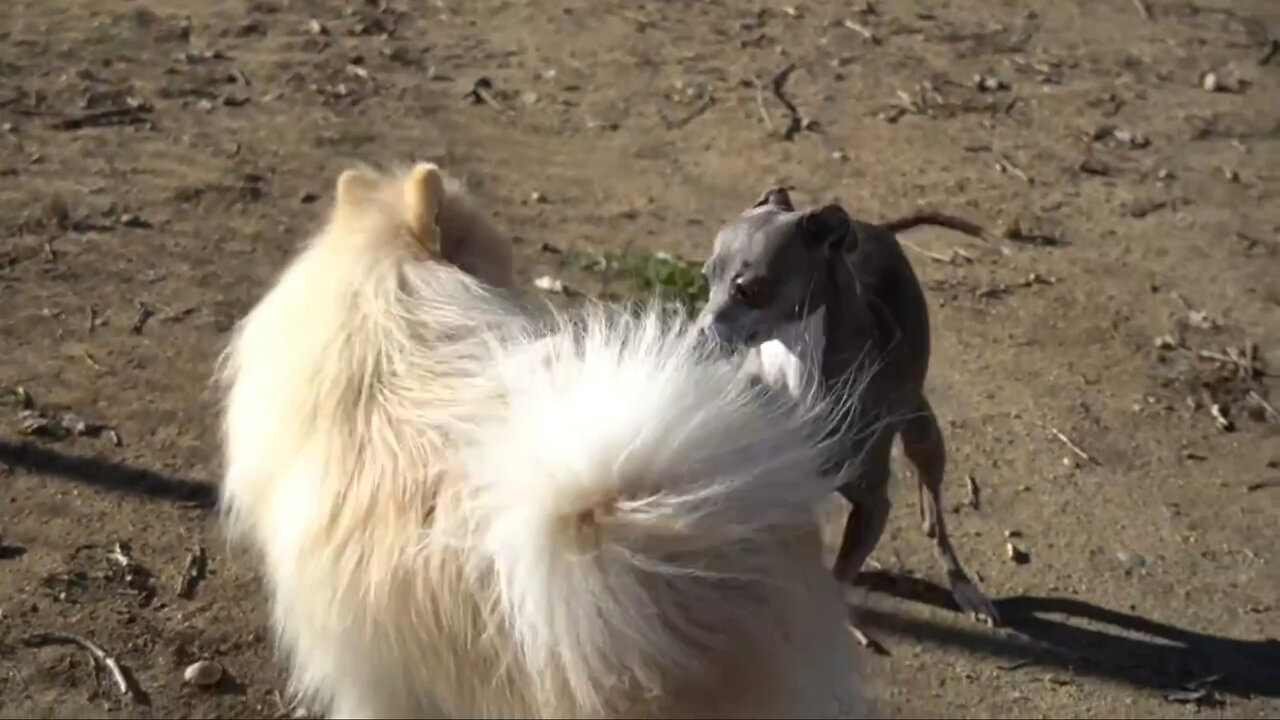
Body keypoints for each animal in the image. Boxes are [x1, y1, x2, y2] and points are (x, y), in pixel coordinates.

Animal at [696, 185, 993, 650]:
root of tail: (875, 228)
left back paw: (964, 585)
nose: (696, 342)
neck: (796, 365)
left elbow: (838, 577)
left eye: (748, 289)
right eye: (707, 276)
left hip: (923, 433)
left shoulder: (873, 504)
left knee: (936, 518)